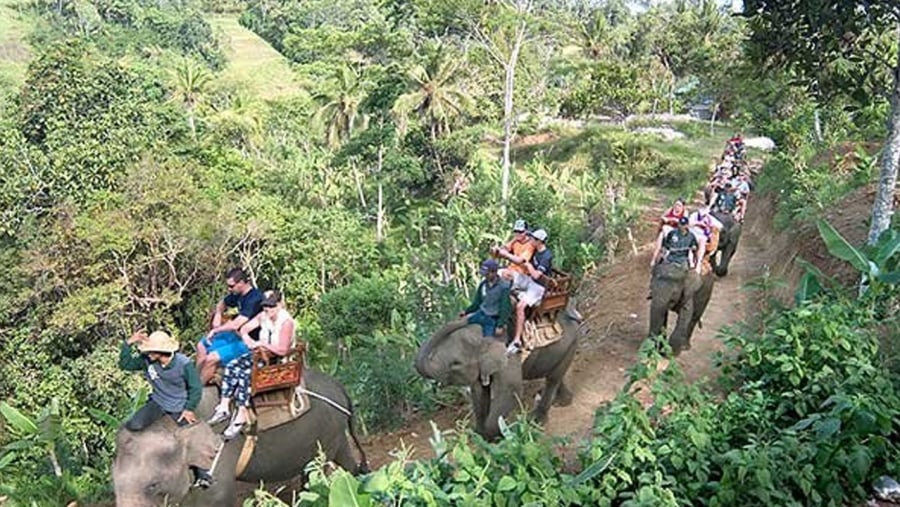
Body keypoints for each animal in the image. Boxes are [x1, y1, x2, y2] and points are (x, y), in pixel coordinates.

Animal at [112, 370, 366, 507]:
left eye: (153, 486)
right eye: (114, 487)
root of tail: (340, 387)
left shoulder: (221, 453)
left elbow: (216, 498)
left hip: (328, 431)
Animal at [416, 304, 584, 442]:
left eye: (455, 364)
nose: (464, 314)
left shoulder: (510, 353)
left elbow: (510, 390)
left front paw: (497, 436)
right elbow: (479, 392)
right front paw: (479, 434)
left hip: (571, 342)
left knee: (553, 378)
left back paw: (537, 420)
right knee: (553, 374)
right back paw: (560, 402)